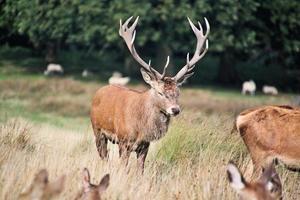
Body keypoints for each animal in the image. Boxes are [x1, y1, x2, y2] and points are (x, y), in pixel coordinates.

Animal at [90, 16, 210, 172]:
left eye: (178, 92)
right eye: (160, 92)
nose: (175, 109)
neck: (141, 128)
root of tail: (100, 90)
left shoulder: (145, 145)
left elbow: (140, 170)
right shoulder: (124, 140)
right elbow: (123, 168)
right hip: (97, 130)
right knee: (104, 156)